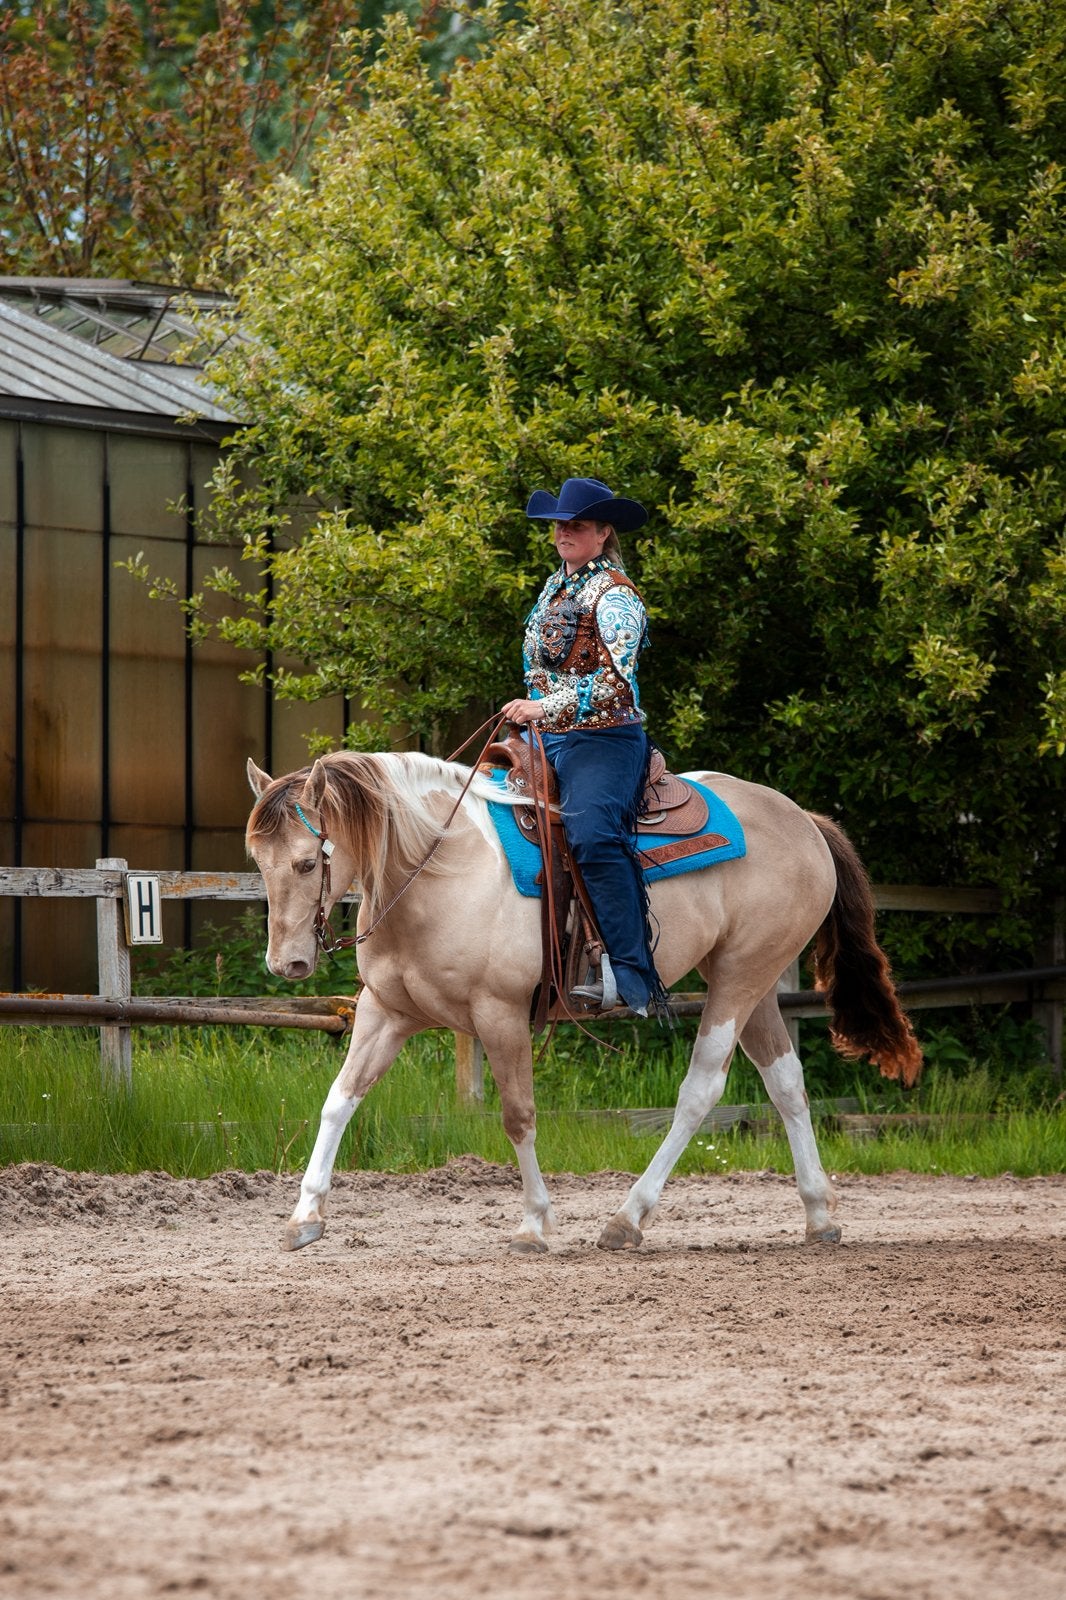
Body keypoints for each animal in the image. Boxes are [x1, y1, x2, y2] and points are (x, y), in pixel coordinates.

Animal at [246, 749, 921, 1255]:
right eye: (257, 858)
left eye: (306, 863)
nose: (287, 965)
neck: (441, 868)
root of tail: (803, 819)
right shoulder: (386, 1014)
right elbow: (338, 1100)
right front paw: (304, 1217)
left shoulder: (499, 1015)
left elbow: (518, 1116)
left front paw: (534, 1225)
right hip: (753, 980)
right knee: (786, 1082)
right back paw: (819, 1215)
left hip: (740, 978)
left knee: (702, 1088)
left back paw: (627, 1218)